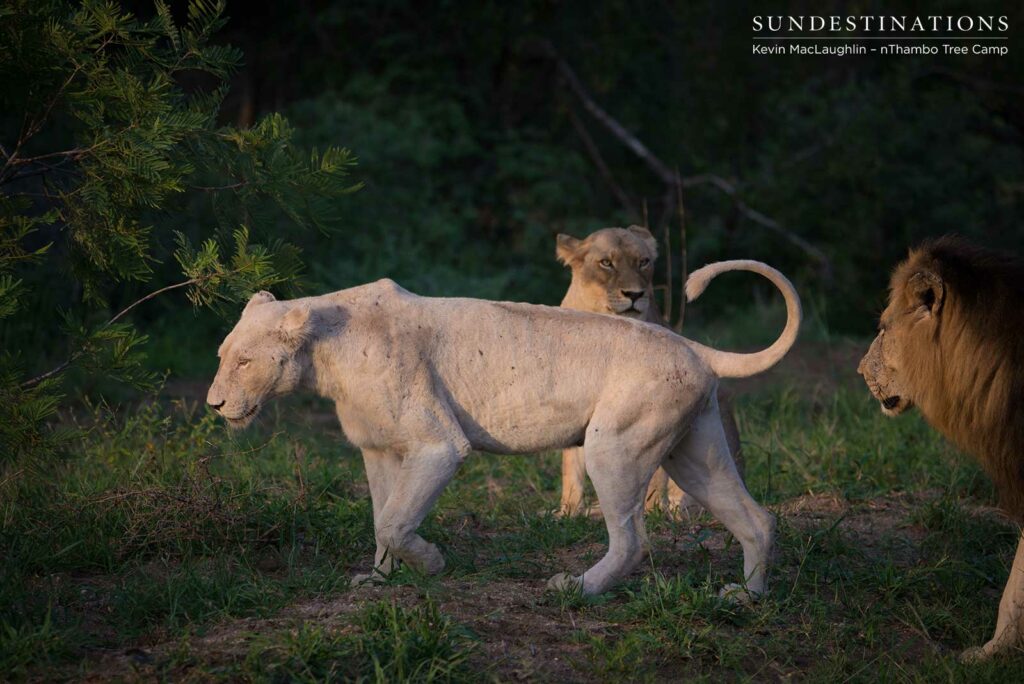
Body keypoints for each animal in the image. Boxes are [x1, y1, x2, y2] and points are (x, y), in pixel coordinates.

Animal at [207, 264, 800, 598]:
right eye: (222, 356)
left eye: (244, 362)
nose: (214, 404)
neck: (324, 354)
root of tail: (693, 346)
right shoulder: (381, 451)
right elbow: (382, 520)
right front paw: (379, 581)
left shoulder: (437, 446)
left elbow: (395, 523)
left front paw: (431, 565)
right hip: (693, 452)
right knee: (757, 518)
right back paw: (745, 597)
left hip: (615, 446)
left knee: (633, 538)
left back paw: (577, 589)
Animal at [555, 225, 743, 516]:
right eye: (606, 263)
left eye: (643, 262)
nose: (635, 295)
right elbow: (571, 466)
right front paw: (568, 513)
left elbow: (651, 474)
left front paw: (649, 512)